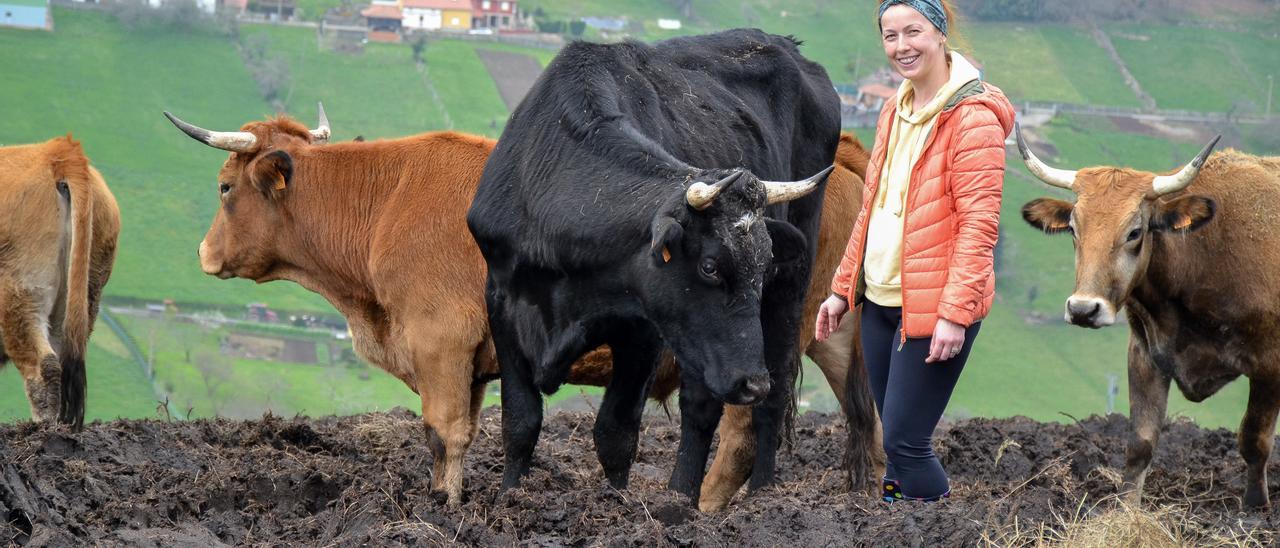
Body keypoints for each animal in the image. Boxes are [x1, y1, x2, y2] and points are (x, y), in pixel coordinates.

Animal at [165, 109, 875, 507]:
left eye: (224, 188)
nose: (201, 253)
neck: (388, 200)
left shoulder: (441, 345)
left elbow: (444, 433)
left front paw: (446, 512)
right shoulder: (478, 361)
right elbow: (465, 436)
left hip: (753, 349)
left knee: (741, 431)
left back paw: (698, 510)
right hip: (828, 330)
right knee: (863, 409)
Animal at [468, 27, 839, 501]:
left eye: (762, 265)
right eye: (710, 267)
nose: (750, 383)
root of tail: (787, 45)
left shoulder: (642, 327)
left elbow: (616, 431)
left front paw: (619, 502)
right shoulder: (501, 302)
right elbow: (520, 420)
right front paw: (508, 497)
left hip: (784, 290)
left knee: (740, 401)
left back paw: (720, 496)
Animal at [1018, 125, 1280, 509]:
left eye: (1134, 231)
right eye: (1073, 229)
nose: (1083, 309)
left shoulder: (1269, 365)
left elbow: (1254, 440)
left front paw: (1255, 509)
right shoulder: (1145, 354)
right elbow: (1141, 442)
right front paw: (1125, 509)